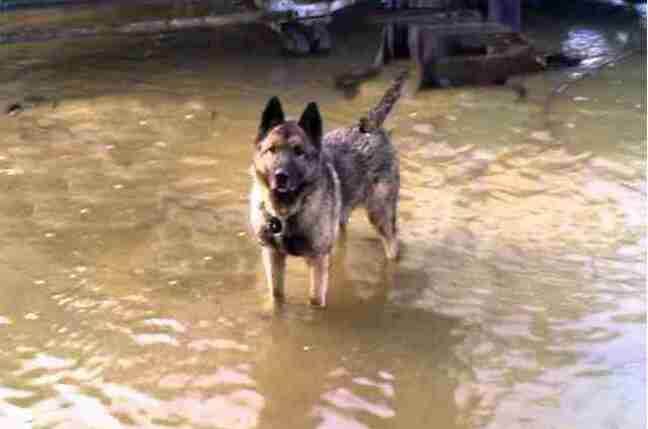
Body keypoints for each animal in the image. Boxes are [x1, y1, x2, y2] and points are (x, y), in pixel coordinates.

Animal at [251, 70, 408, 306]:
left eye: (299, 151)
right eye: (272, 150)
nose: (281, 176)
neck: (287, 212)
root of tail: (371, 127)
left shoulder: (316, 260)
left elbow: (315, 301)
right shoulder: (272, 256)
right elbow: (277, 297)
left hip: (380, 216)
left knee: (392, 247)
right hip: (341, 221)